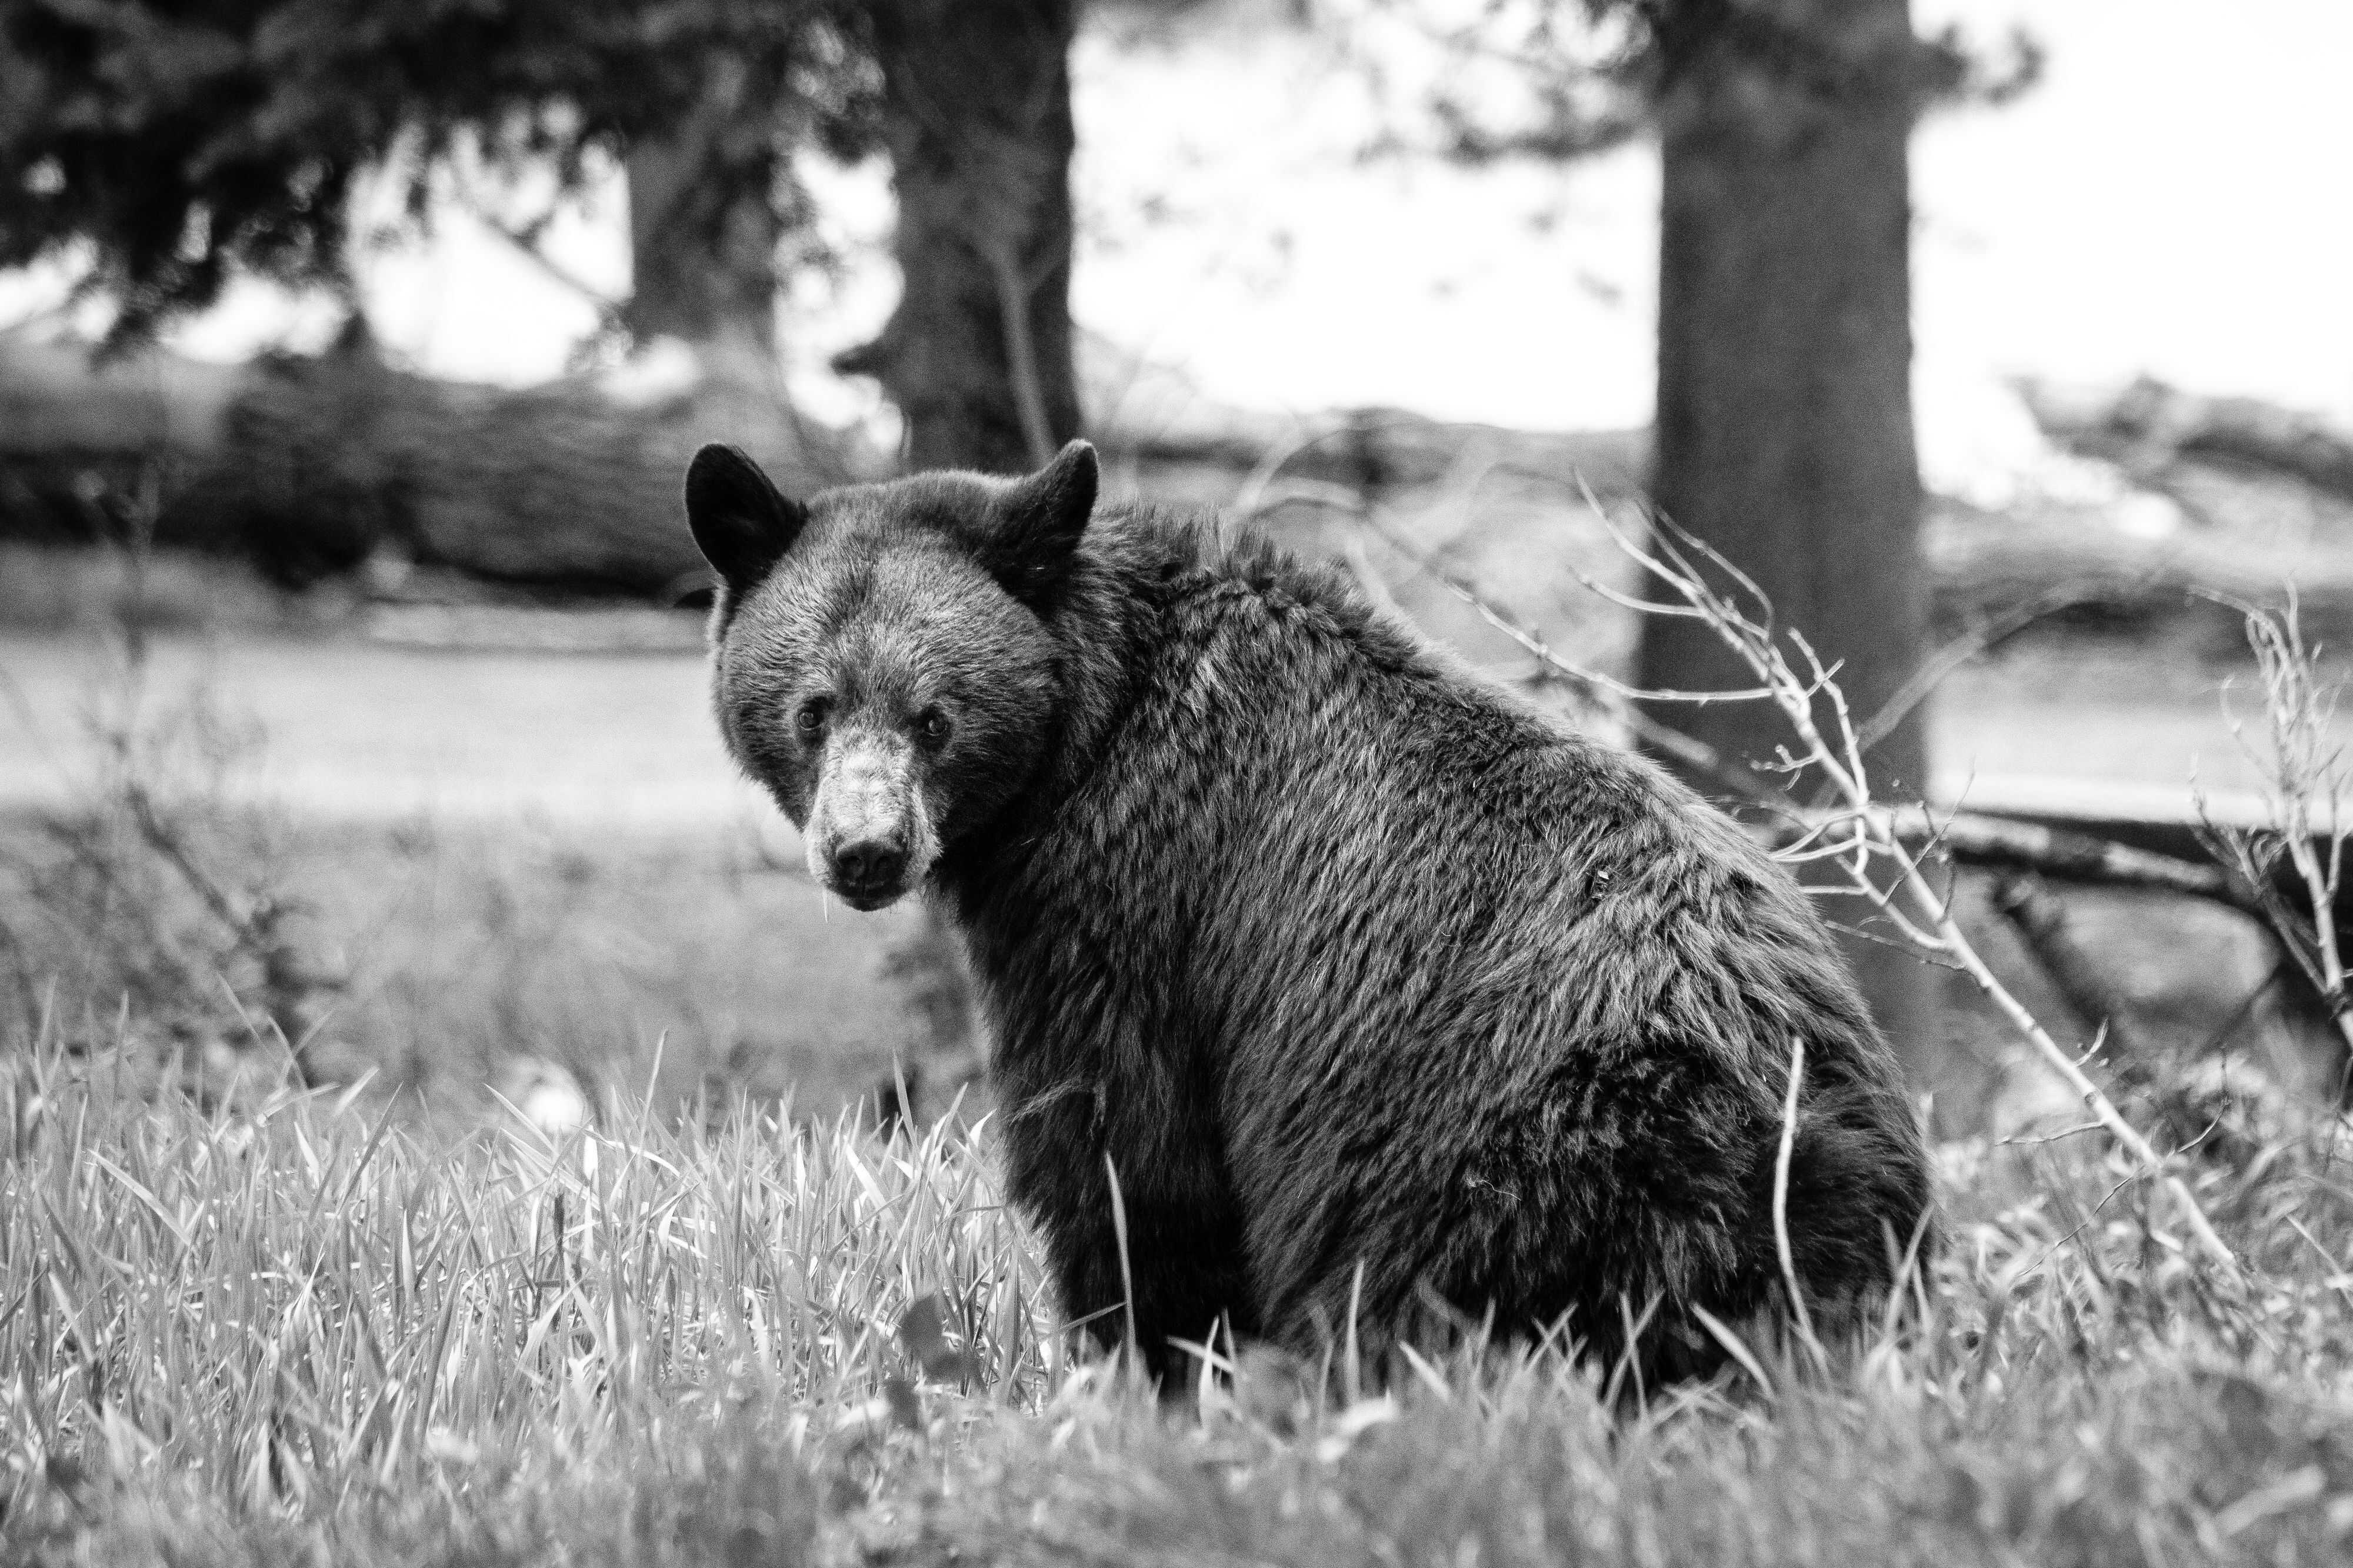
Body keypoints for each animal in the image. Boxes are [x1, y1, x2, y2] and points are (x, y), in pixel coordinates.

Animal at [684, 436, 1933, 1383]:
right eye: (813, 706)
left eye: (935, 714)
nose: (866, 852)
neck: (1089, 735)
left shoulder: (1131, 908)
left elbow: (1128, 1158)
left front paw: (1145, 1365)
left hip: (1477, 1151)